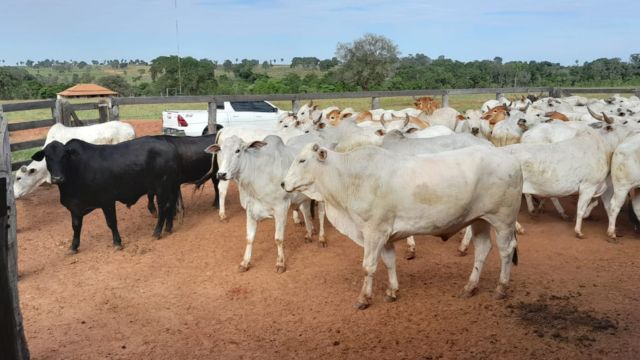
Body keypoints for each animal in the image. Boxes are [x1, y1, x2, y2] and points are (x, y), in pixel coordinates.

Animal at [34, 138, 181, 253]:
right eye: (47, 157)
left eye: (64, 156)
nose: (57, 178)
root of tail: (169, 146)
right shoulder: (75, 207)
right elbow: (76, 226)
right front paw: (73, 247)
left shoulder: (107, 201)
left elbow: (111, 222)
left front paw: (117, 243)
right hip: (170, 187)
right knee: (171, 205)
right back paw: (168, 228)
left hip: (161, 188)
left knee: (163, 208)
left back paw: (157, 232)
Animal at [205, 134, 324, 272]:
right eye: (221, 150)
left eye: (238, 150)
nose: (221, 174)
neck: (257, 176)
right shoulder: (250, 210)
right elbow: (249, 238)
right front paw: (245, 262)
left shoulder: (281, 208)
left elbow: (278, 238)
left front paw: (280, 263)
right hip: (303, 196)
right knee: (305, 211)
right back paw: (309, 233)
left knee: (321, 215)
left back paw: (321, 238)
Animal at [282, 143, 524, 310]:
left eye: (302, 160)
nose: (283, 183)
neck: (351, 179)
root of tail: (510, 158)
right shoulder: (385, 235)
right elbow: (389, 262)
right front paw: (392, 290)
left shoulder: (374, 232)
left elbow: (368, 266)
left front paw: (364, 298)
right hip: (479, 220)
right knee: (482, 249)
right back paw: (470, 287)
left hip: (503, 221)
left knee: (506, 251)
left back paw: (501, 288)